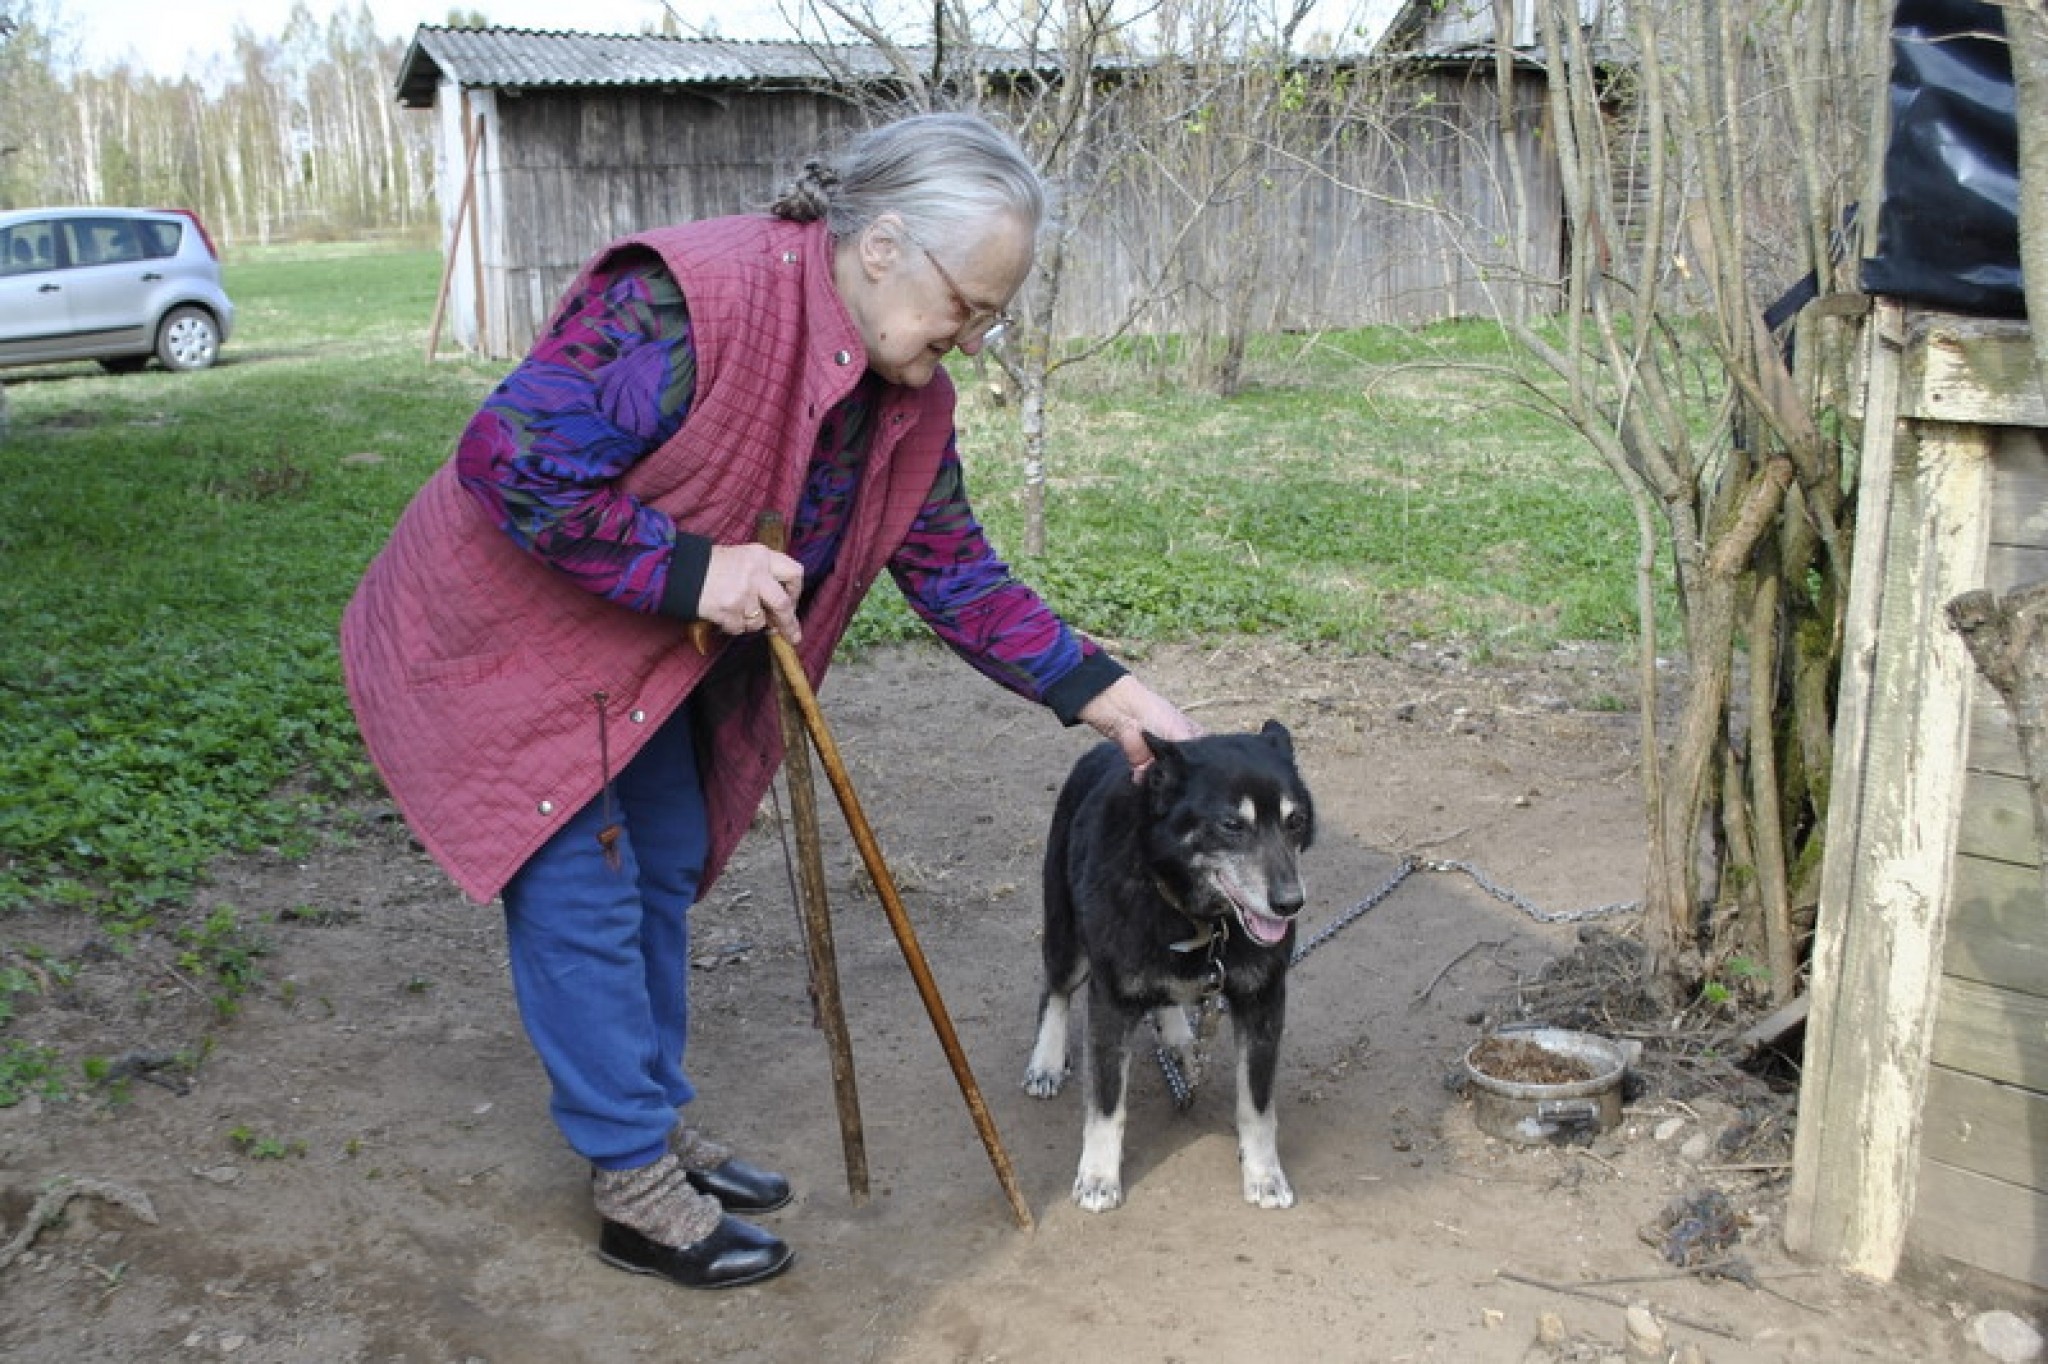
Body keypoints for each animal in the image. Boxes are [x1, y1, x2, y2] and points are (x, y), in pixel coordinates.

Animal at [1019, 716, 1310, 1204]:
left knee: (1166, 994)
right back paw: (1046, 1060)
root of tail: (1104, 749)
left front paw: (1265, 1175)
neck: (1198, 918)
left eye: (1296, 821)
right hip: (1066, 934)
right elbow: (1106, 1104)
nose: (1290, 904)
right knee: (1054, 989)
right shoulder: (1110, 1001)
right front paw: (1098, 1177)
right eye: (1231, 825)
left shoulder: (1263, 1001)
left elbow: (1257, 1105)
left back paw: (1177, 1037)